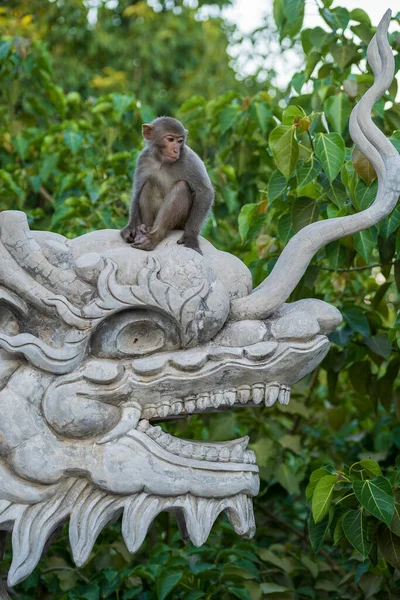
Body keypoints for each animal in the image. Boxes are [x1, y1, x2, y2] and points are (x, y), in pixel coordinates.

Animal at [120, 117, 214, 255]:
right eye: (170, 139)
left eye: (180, 141)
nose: (176, 150)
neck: (162, 162)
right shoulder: (143, 159)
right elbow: (137, 191)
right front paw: (130, 228)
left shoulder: (189, 159)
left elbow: (205, 192)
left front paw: (190, 237)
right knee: (149, 183)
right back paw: (144, 231)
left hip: (182, 223)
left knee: (181, 187)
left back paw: (154, 236)